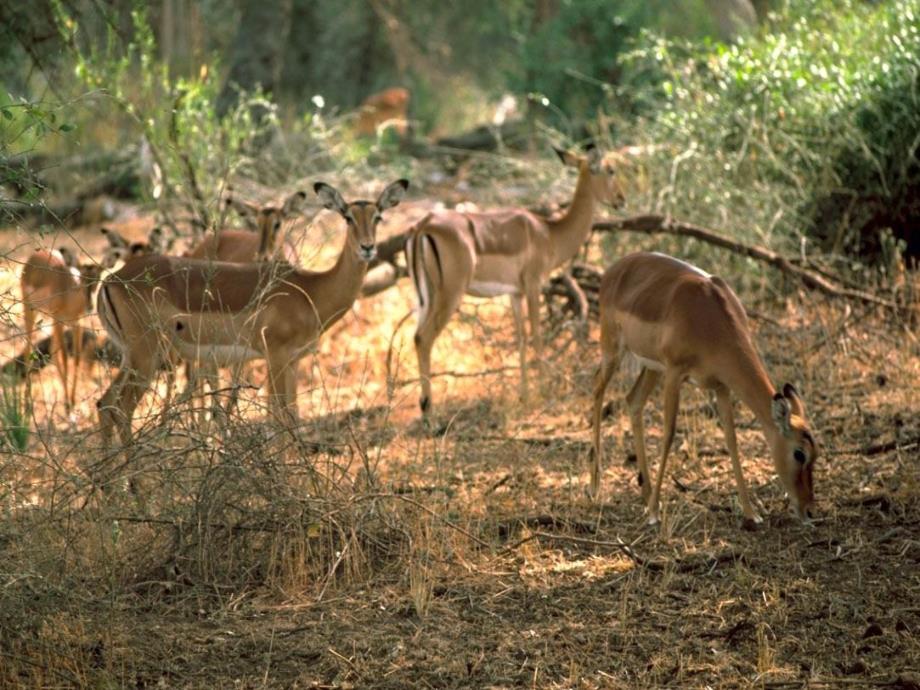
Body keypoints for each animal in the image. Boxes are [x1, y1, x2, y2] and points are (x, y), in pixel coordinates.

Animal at [20, 247, 103, 408]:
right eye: (82, 278)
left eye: (97, 279)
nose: (90, 306)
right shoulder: (58, 321)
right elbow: (65, 357)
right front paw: (67, 402)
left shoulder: (77, 324)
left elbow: (76, 358)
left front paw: (72, 400)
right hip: (30, 310)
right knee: (28, 349)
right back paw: (27, 403)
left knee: (52, 350)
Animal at [96, 179, 406, 446]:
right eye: (348, 217)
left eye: (378, 216)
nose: (367, 248)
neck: (311, 289)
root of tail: (110, 281)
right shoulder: (277, 357)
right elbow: (281, 420)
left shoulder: (293, 361)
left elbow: (293, 417)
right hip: (146, 357)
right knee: (121, 408)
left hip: (132, 358)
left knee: (105, 404)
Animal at [408, 144, 624, 414]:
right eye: (610, 170)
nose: (621, 200)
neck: (549, 233)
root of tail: (424, 226)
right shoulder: (533, 286)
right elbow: (538, 336)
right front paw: (544, 393)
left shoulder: (515, 293)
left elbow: (521, 339)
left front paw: (525, 395)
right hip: (450, 294)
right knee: (424, 338)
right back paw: (429, 410)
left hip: (425, 297)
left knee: (416, 337)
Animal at [588, 250, 820, 524]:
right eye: (799, 453)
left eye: (816, 454)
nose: (809, 510)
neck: (710, 317)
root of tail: (614, 269)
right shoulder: (675, 373)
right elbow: (668, 435)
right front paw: (655, 514)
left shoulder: (721, 386)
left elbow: (732, 439)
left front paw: (751, 514)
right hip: (613, 350)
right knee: (597, 389)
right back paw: (596, 489)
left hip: (651, 367)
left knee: (633, 400)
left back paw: (645, 494)